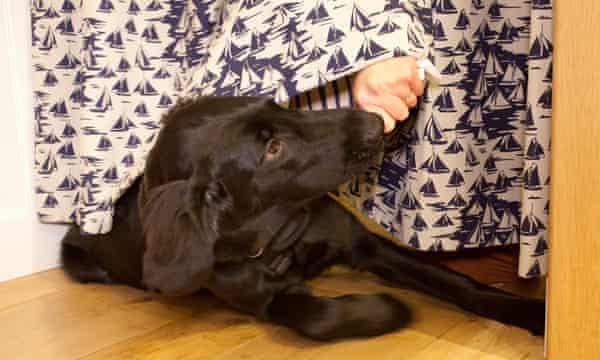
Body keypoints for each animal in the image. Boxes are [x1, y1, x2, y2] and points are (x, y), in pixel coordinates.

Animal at [59, 96, 544, 340]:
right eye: (272, 149)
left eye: (277, 104)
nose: (374, 124)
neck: (283, 236)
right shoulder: (263, 299)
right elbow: (316, 316)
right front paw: (386, 309)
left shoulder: (366, 245)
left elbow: (460, 283)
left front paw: (532, 314)